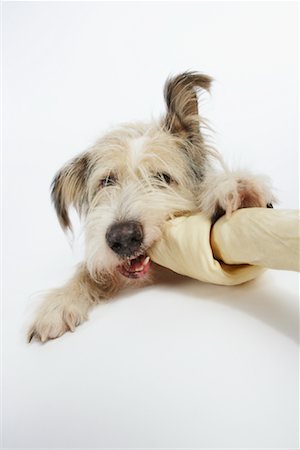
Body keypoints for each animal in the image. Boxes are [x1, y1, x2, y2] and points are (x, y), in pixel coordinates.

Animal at [28, 73, 274, 342]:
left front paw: (235, 189)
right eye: (106, 181)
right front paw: (60, 302)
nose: (123, 237)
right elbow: (88, 270)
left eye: (163, 178)